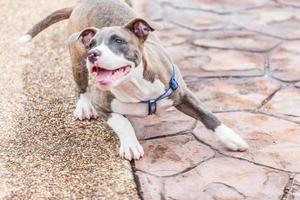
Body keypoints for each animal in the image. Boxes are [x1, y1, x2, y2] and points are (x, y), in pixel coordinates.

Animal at [18, 0, 248, 160]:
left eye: (118, 41)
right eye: (92, 44)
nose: (93, 53)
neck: (136, 86)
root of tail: (80, 4)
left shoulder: (182, 93)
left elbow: (209, 116)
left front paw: (231, 138)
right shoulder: (102, 104)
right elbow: (122, 123)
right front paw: (130, 145)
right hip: (77, 61)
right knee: (81, 87)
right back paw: (83, 106)